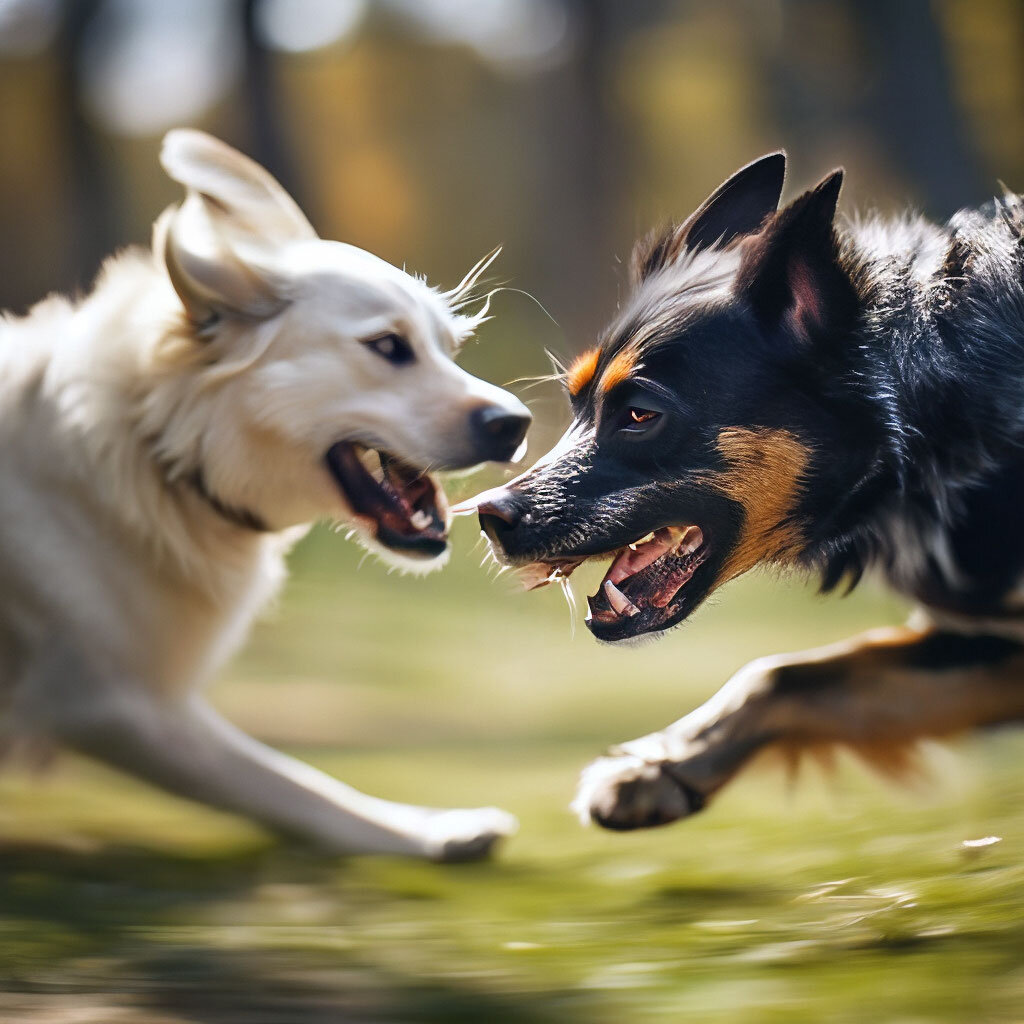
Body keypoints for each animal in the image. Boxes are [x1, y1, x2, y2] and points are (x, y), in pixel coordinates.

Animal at [0, 132, 528, 860]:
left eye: (448, 348)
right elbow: (293, 784)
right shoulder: (108, 701)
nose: (517, 423)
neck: (158, 447)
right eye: (388, 345)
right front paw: (424, 830)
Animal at [471, 153, 1024, 831]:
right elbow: (786, 678)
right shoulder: (989, 642)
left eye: (639, 415)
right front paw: (661, 766)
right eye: (577, 404)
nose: (488, 517)